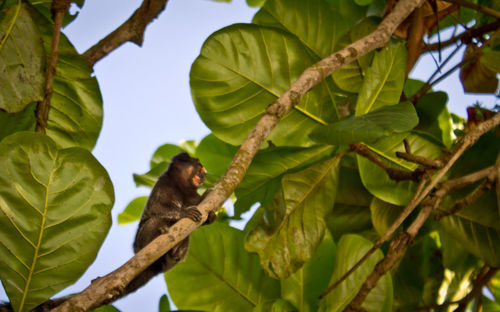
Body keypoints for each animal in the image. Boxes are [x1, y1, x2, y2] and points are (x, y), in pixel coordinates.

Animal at [122, 154, 216, 298]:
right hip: (141, 242)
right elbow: (156, 208)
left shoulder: (193, 196)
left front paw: (210, 216)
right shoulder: (163, 184)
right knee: (157, 220)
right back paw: (160, 233)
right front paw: (183, 212)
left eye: (203, 172)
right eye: (199, 169)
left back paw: (174, 252)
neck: (180, 187)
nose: (203, 176)